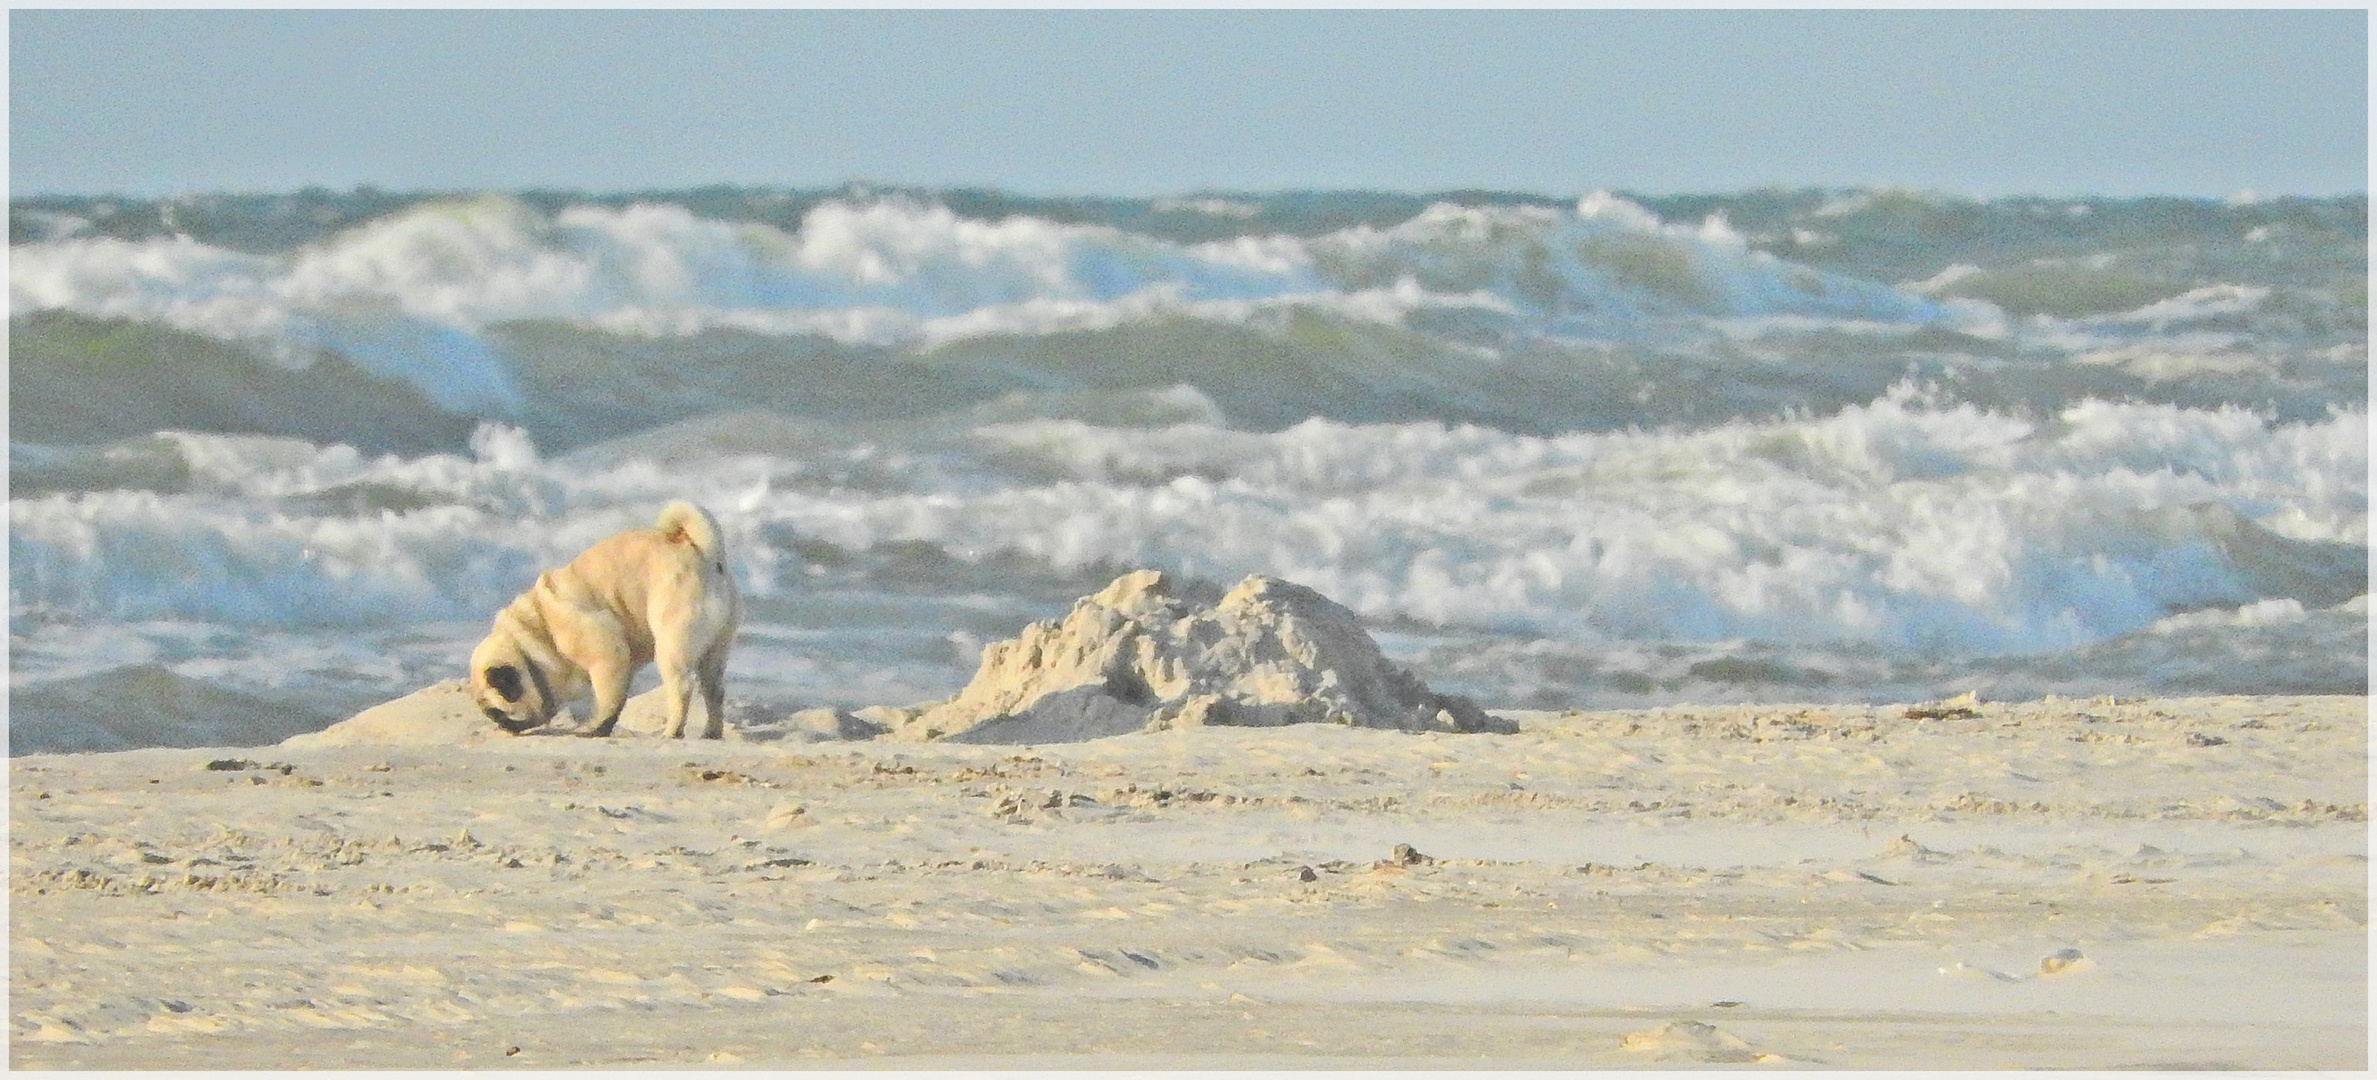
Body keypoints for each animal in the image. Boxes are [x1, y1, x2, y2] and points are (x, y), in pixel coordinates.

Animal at [473, 501, 741, 737]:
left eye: (500, 710)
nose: (502, 724)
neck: (537, 635)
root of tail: (704, 554)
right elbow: (617, 700)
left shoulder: (606, 656)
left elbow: (607, 702)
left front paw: (594, 729)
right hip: (716, 650)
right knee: (714, 691)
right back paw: (711, 733)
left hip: (672, 645)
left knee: (681, 689)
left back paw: (672, 731)